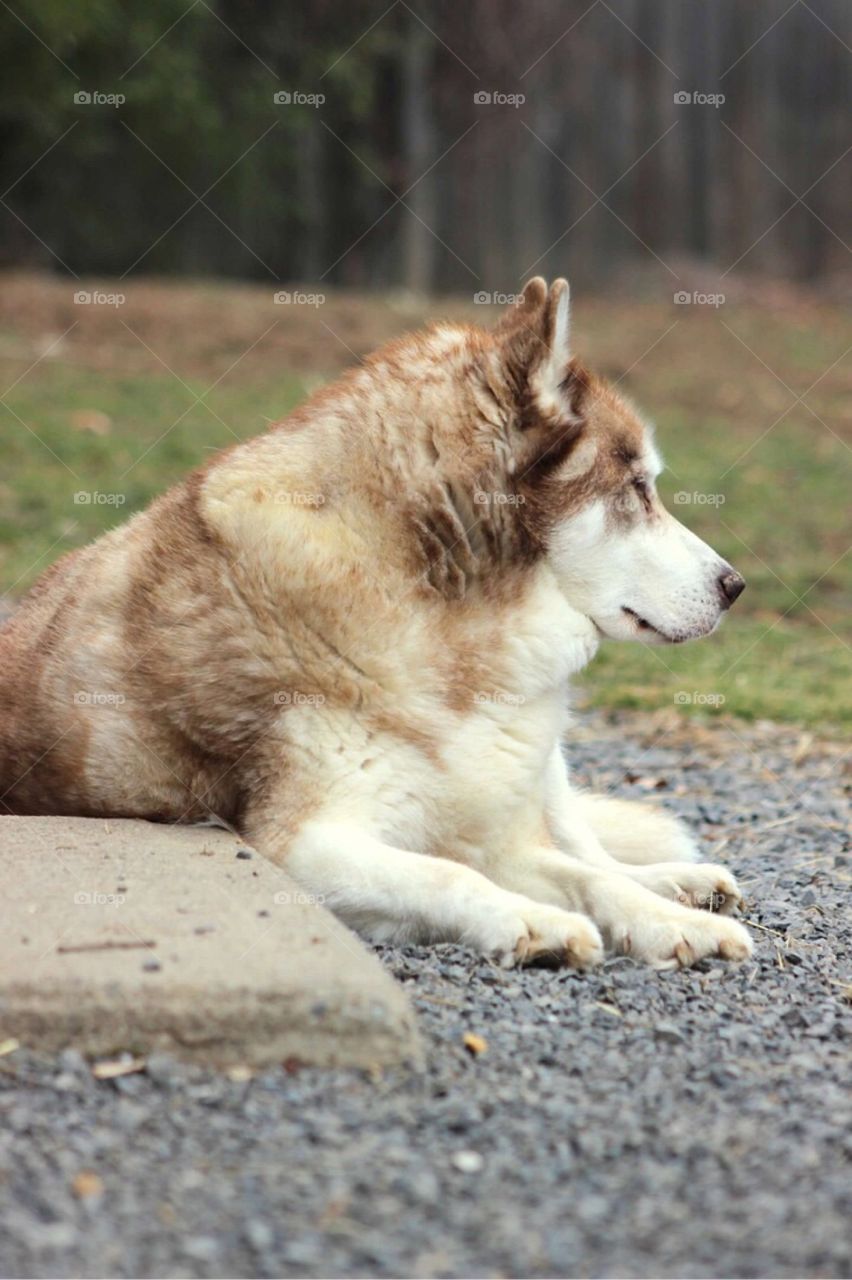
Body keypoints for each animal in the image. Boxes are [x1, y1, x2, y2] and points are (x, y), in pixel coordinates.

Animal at [0, 275, 752, 962]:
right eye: (638, 490)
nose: (735, 586)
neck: (447, 617)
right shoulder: (302, 845)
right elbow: (453, 875)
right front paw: (533, 921)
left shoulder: (491, 830)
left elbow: (590, 878)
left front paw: (669, 922)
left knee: (588, 843)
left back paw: (679, 884)